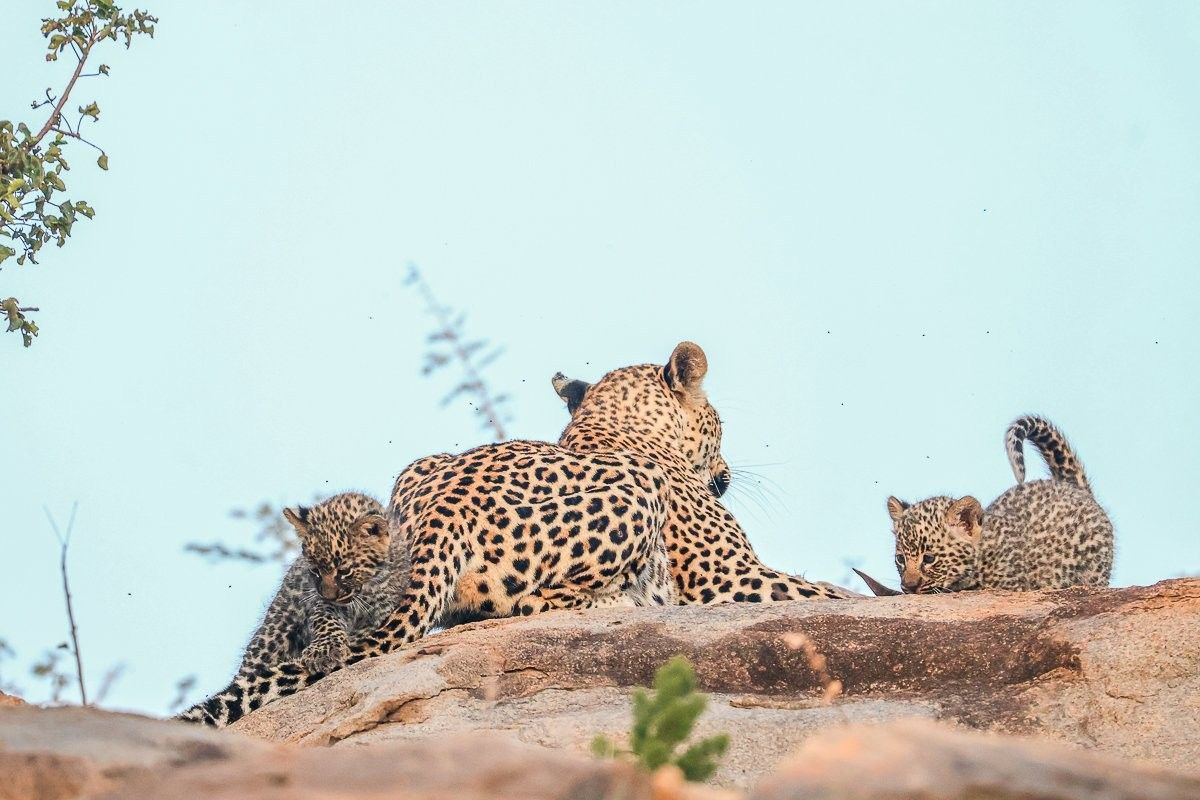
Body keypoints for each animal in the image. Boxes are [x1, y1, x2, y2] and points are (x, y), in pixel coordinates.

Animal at [232, 493, 407, 677]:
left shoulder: (380, 612)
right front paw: (323, 652)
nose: (329, 596)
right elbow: (326, 620)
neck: (368, 589)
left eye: (344, 571)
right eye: (315, 570)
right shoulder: (321, 603)